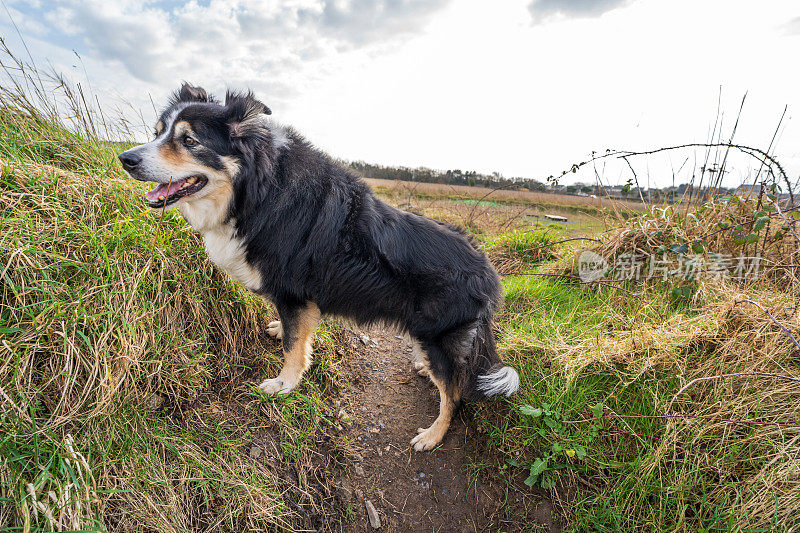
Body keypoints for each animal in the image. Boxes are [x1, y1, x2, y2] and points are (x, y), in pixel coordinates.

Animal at [117, 83, 520, 448]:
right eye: (157, 133)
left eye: (189, 141)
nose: (126, 159)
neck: (256, 192)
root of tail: (487, 273)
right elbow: (295, 333)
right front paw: (279, 330)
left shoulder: (294, 292)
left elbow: (294, 346)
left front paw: (283, 384)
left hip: (437, 335)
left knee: (455, 394)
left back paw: (433, 435)